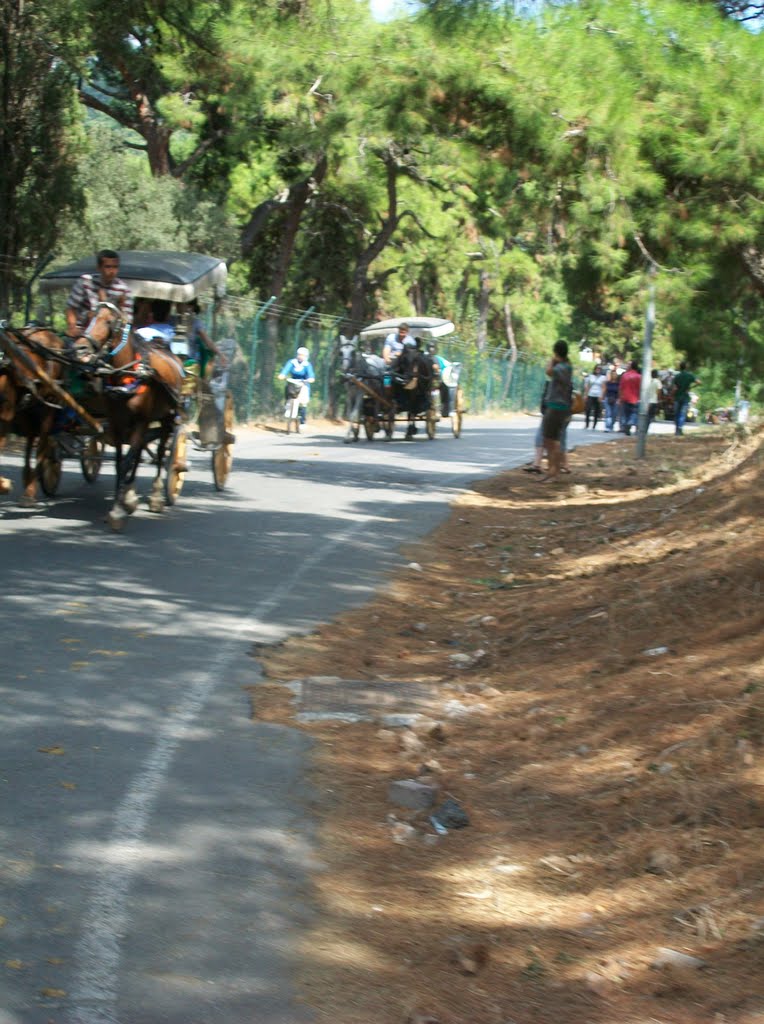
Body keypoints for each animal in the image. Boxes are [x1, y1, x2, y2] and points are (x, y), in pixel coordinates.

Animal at [82, 301, 185, 528]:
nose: (80, 348)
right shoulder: (118, 423)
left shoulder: (140, 421)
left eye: (108, 322)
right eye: (89, 317)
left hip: (166, 418)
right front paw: (121, 502)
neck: (130, 373)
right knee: (138, 452)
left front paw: (118, 511)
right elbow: (121, 462)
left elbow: (127, 462)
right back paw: (130, 494)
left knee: (161, 452)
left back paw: (156, 497)